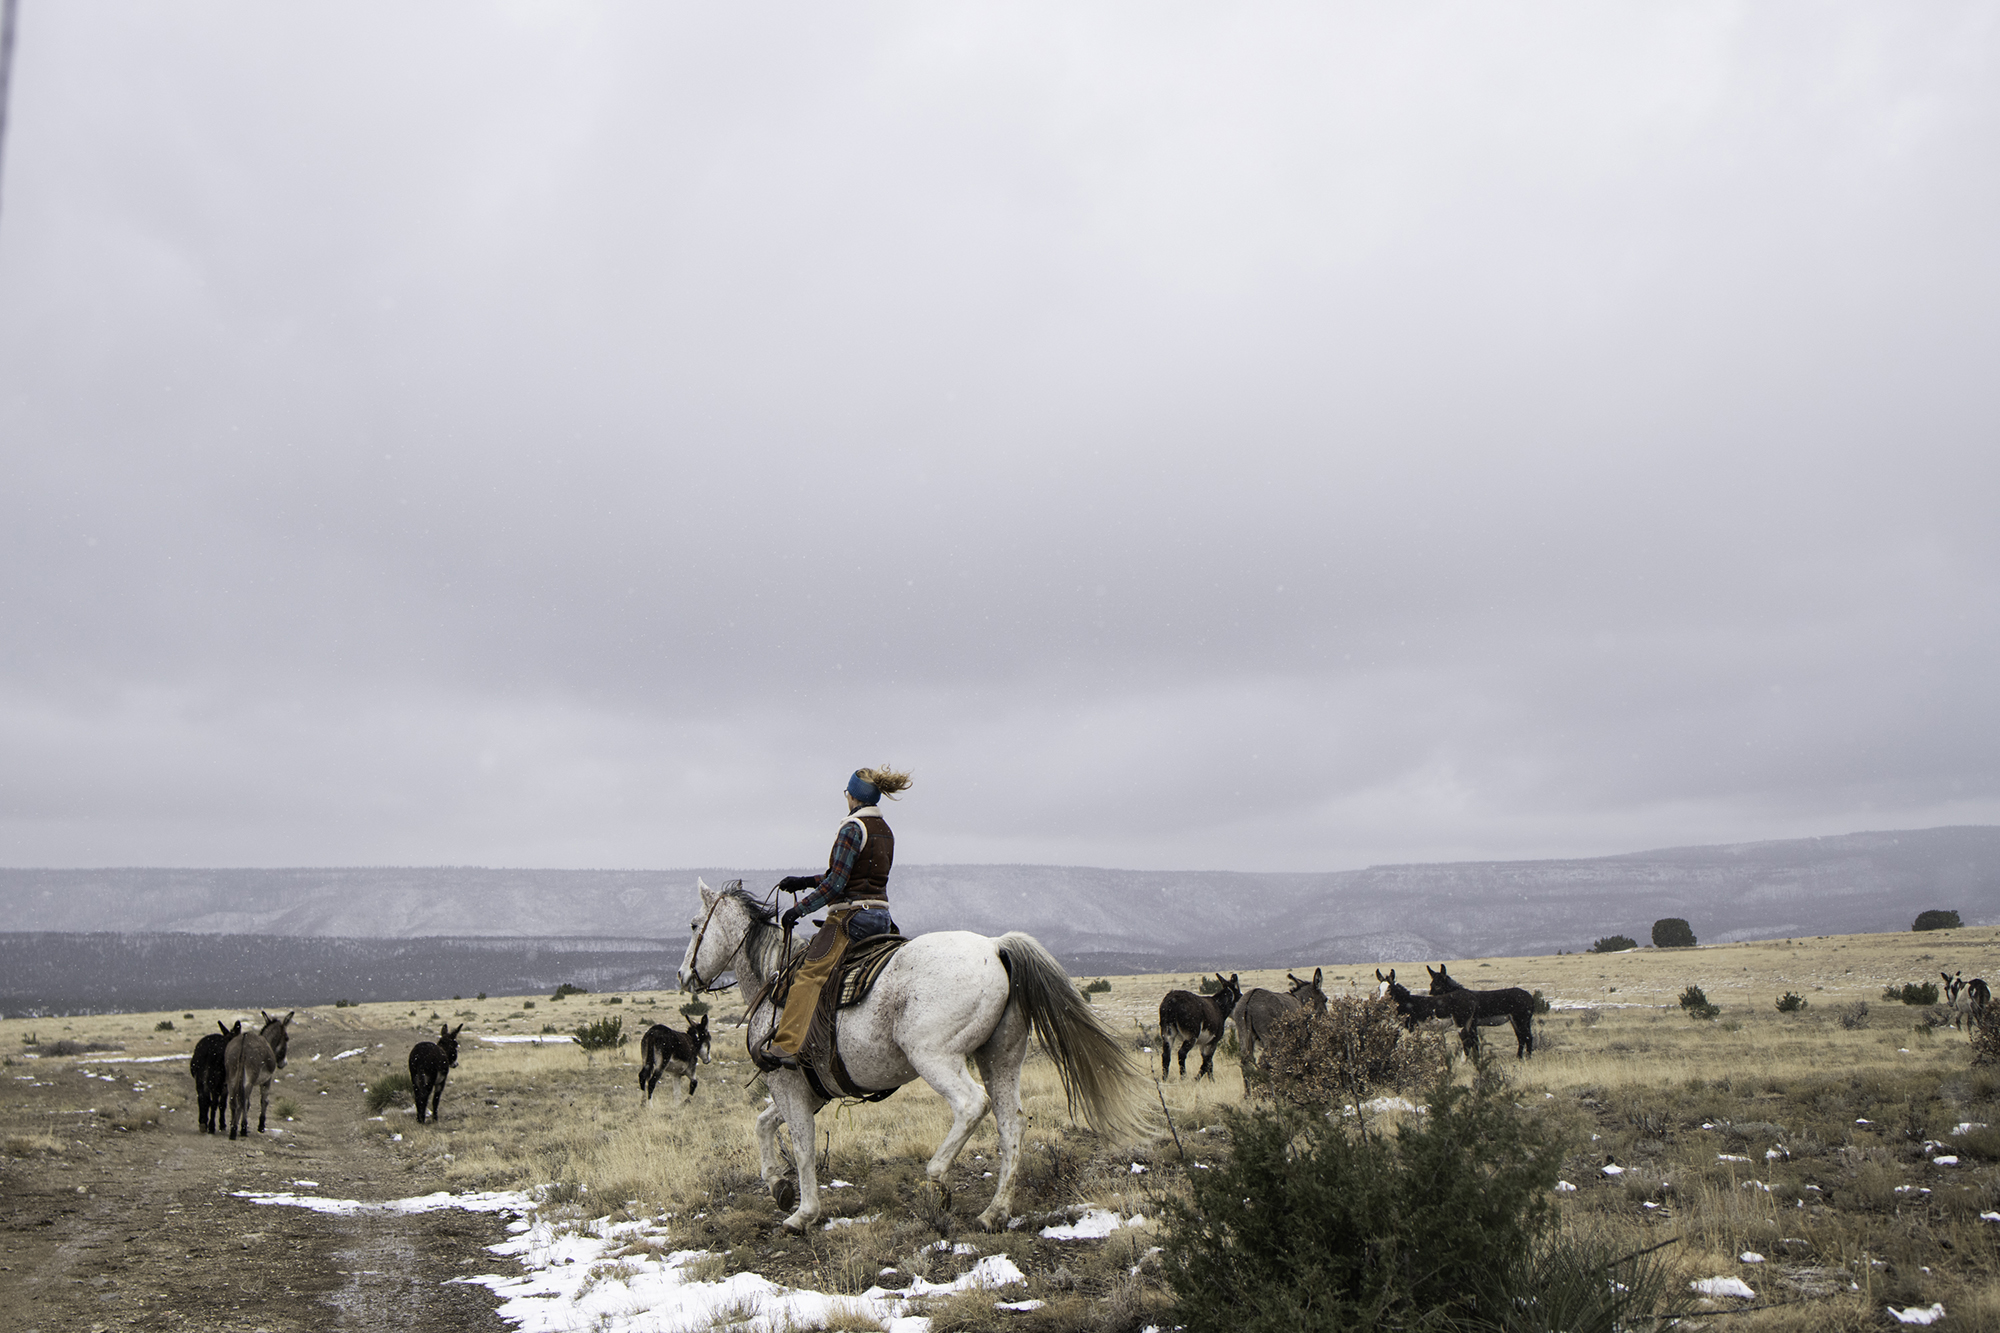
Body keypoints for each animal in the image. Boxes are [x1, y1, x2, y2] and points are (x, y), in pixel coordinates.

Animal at [676, 876, 1160, 1232]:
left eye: (696, 924)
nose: (684, 975)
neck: (773, 978)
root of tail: (995, 946)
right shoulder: (813, 1089)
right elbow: (764, 1124)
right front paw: (779, 1186)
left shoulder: (787, 1079)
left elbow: (802, 1145)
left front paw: (802, 1213)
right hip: (1000, 1057)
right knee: (1012, 1123)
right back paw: (994, 1212)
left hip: (935, 1057)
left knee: (972, 1105)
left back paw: (936, 1178)